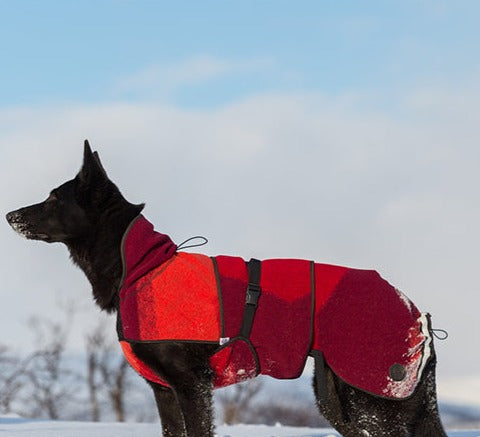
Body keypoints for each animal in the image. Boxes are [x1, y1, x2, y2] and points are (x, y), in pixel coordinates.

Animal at [6, 141, 446, 434]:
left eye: (53, 198)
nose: (9, 215)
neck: (140, 264)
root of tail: (418, 313)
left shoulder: (191, 385)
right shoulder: (164, 391)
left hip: (372, 399)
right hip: (340, 400)